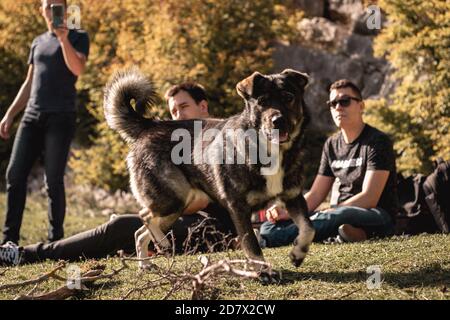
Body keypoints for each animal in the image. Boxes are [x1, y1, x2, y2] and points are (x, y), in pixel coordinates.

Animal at [103, 67, 314, 272]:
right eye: (262, 102)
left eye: (288, 97)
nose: (278, 121)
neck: (270, 151)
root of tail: (151, 125)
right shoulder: (238, 208)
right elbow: (252, 244)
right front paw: (263, 271)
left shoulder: (293, 197)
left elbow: (308, 228)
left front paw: (298, 253)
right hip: (173, 199)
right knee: (144, 215)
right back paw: (160, 243)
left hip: (179, 206)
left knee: (140, 232)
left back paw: (146, 263)